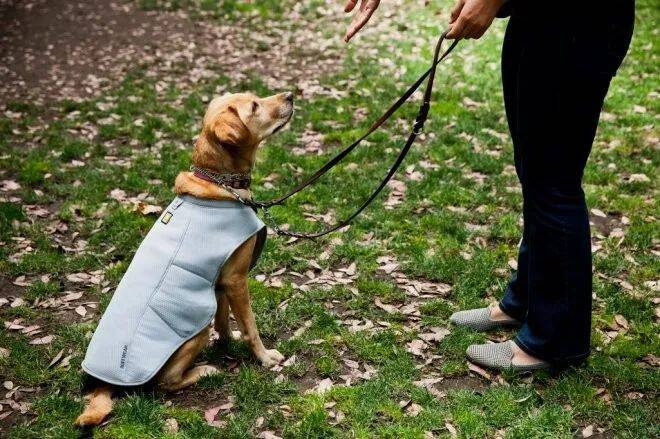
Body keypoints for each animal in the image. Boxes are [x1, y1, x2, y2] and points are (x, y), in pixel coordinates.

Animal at [75, 92, 294, 426]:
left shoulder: (220, 279)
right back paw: (204, 371)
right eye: (255, 106)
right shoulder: (236, 279)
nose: (291, 96)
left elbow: (225, 320)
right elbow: (250, 326)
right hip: (194, 324)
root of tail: (104, 384)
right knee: (165, 383)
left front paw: (227, 342)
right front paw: (265, 358)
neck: (219, 184)